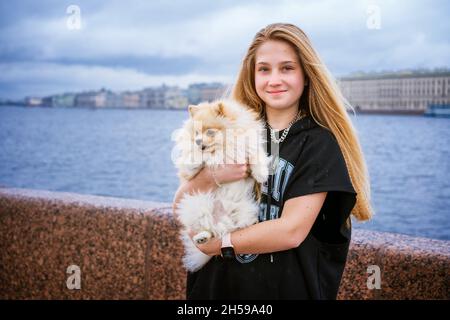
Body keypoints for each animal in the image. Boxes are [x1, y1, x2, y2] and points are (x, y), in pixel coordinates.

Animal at [173, 99, 270, 272]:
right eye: (196, 134)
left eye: (210, 132)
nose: (198, 142)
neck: (223, 148)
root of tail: (221, 221)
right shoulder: (189, 173)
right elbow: (193, 160)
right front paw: (198, 156)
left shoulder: (248, 147)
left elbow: (255, 155)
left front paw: (261, 174)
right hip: (197, 206)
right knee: (209, 230)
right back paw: (202, 237)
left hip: (244, 210)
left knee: (232, 229)